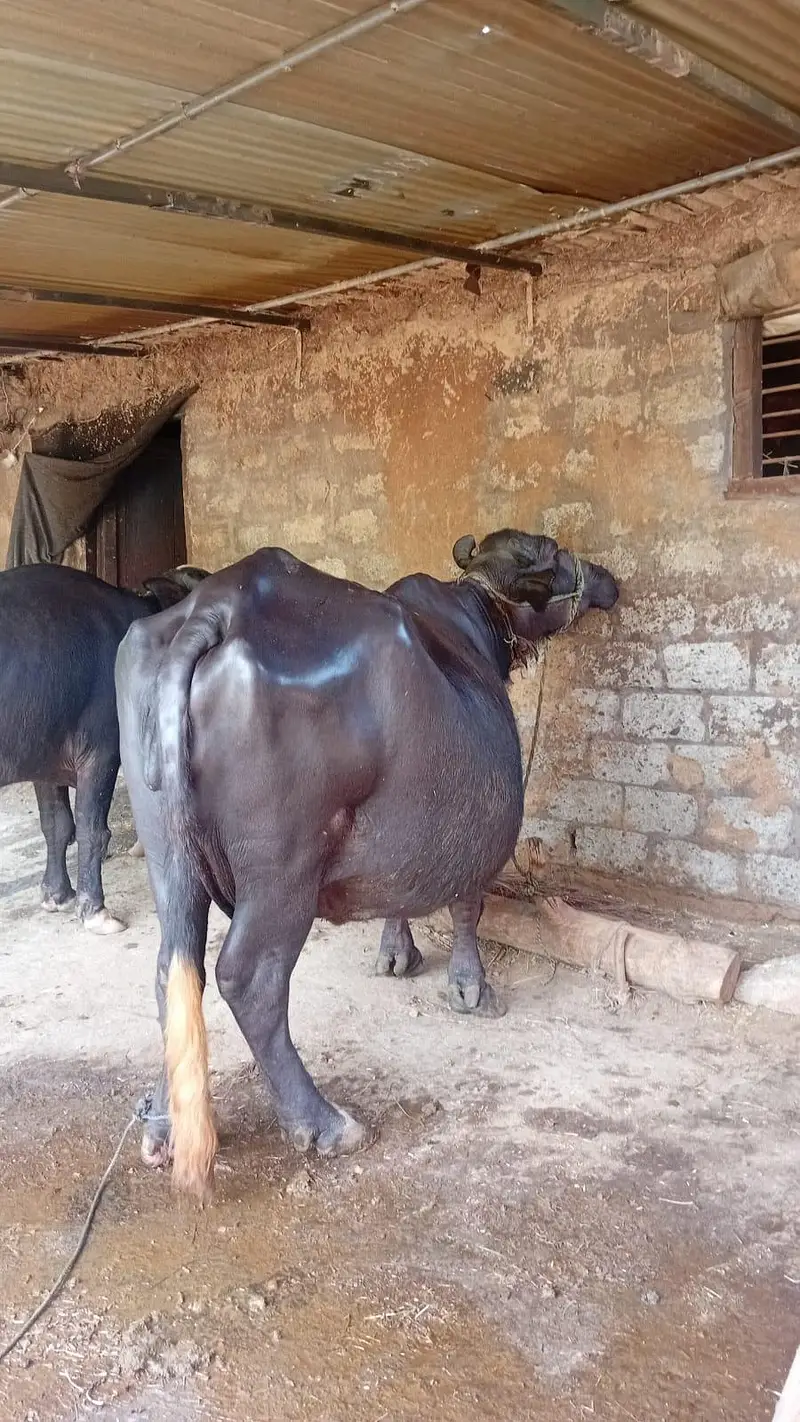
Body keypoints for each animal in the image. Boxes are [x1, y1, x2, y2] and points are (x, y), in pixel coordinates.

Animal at [0, 561, 208, 933]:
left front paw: (57, 894)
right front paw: (95, 910)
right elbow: (91, 829)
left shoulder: (46, 761)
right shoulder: (101, 753)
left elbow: (55, 825)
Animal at [115, 528, 618, 1198]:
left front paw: (396, 953)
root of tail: (215, 608)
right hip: (283, 874)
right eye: (558, 554)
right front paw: (471, 987)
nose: (607, 580)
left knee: (175, 970)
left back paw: (166, 1119)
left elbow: (399, 888)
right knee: (246, 978)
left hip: (170, 857)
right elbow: (467, 903)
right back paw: (322, 1122)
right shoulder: (478, 836)